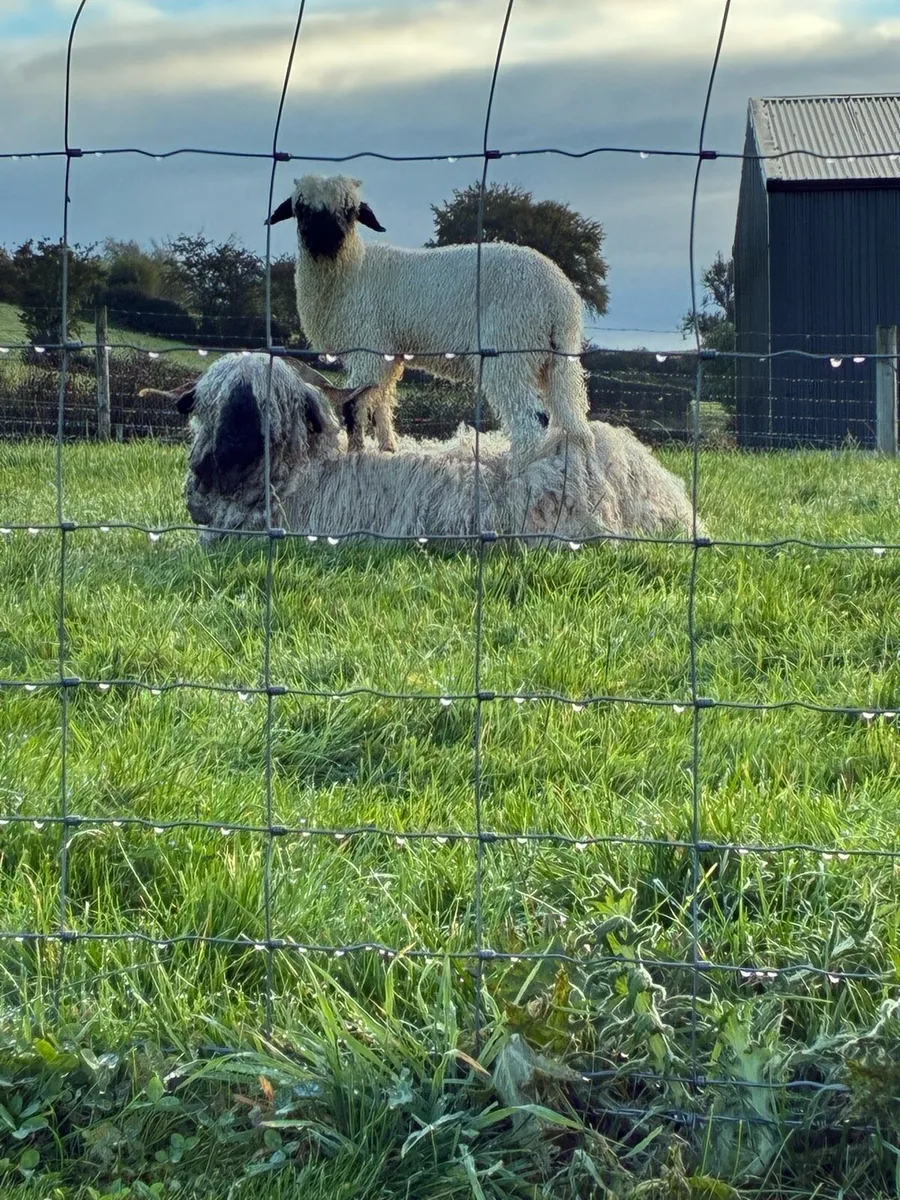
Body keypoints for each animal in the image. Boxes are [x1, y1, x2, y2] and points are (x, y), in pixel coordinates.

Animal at [265, 173, 594, 459]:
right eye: (301, 208)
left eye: (350, 211)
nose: (325, 239)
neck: (351, 270)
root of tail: (559, 297)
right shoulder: (389, 355)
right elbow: (382, 401)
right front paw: (387, 448)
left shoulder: (368, 349)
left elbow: (356, 406)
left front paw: (356, 452)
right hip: (555, 361)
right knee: (571, 419)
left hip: (511, 351)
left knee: (529, 419)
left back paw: (517, 464)